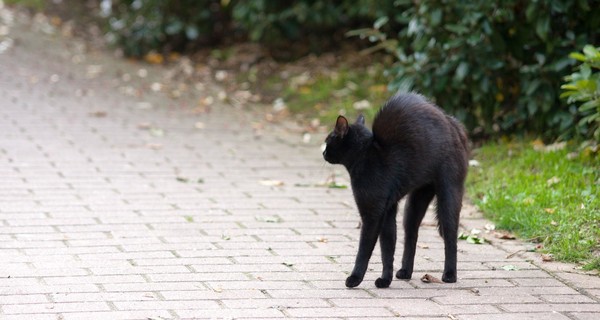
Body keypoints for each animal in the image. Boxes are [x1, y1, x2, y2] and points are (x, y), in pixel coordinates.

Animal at [324, 92, 468, 288]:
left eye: (328, 141)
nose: (323, 153)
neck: (365, 155)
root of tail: (453, 122)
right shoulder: (387, 210)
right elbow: (387, 247)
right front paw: (386, 279)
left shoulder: (372, 213)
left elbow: (365, 249)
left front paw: (355, 278)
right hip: (415, 202)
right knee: (411, 236)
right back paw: (405, 272)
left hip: (449, 193)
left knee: (451, 236)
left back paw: (450, 275)